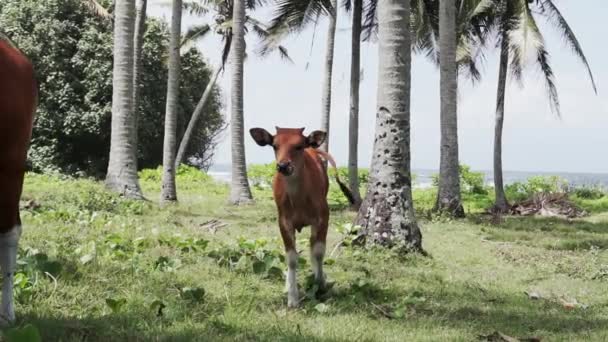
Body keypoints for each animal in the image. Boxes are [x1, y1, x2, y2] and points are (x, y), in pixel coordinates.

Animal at [249, 126, 354, 308]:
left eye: (298, 146)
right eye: (275, 145)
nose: (283, 166)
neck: (299, 200)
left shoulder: (323, 218)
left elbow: (318, 253)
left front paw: (319, 286)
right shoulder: (284, 222)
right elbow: (291, 258)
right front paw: (292, 296)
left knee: (313, 248)